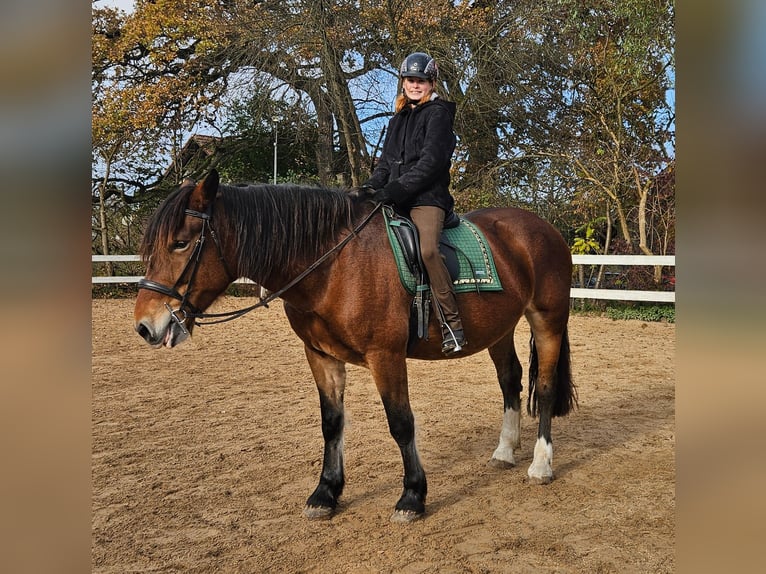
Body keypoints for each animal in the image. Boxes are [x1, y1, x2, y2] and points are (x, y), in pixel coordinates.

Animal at [135, 169, 576, 524]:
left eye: (180, 243)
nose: (144, 326)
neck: (333, 265)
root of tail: (542, 227)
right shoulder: (320, 356)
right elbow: (332, 424)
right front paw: (325, 493)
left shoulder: (386, 356)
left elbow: (401, 423)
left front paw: (412, 497)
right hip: (499, 330)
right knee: (510, 381)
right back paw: (504, 451)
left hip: (547, 320)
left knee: (546, 387)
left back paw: (540, 465)